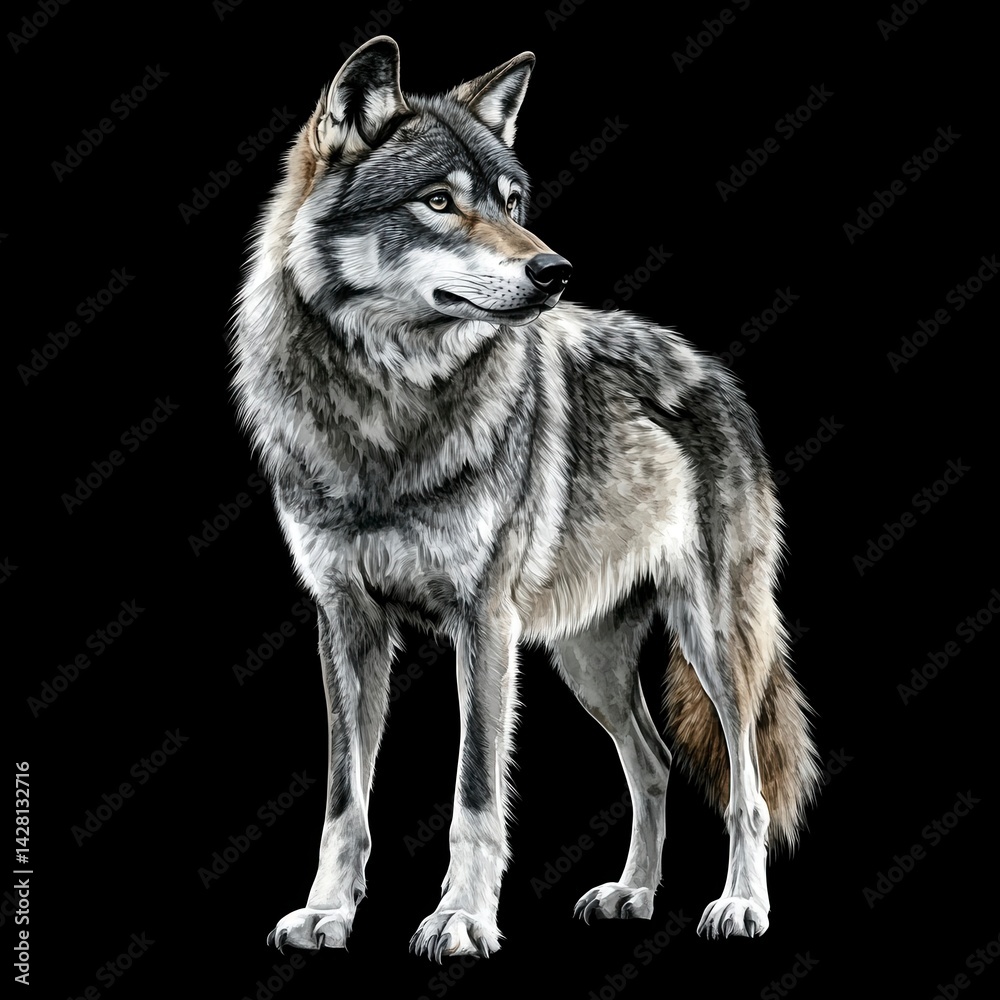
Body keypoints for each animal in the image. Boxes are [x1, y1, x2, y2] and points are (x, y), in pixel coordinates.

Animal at [232, 35, 820, 962]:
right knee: (653, 764)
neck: (386, 414)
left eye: (512, 202)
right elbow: (344, 802)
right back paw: (633, 895)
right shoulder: (346, 622)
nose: (555, 270)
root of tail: (713, 371)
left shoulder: (484, 623)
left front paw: (462, 920)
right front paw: (327, 913)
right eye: (440, 202)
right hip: (588, 663)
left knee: (746, 786)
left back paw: (741, 906)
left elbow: (474, 795)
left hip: (712, 640)